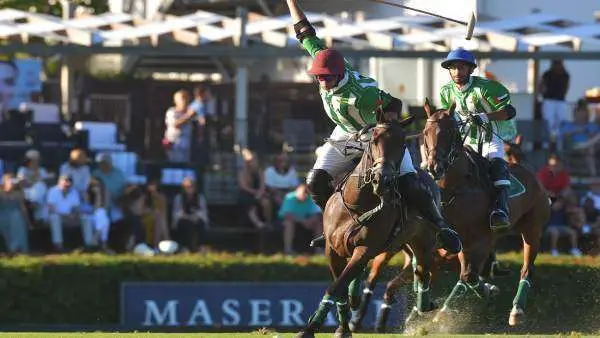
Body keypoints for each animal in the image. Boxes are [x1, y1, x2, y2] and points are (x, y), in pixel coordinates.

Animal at [298, 111, 442, 338]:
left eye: (403, 143)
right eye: (374, 140)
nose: (382, 179)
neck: (359, 204)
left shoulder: (366, 248)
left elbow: (337, 287)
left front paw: (311, 329)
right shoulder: (332, 250)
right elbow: (339, 288)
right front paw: (340, 328)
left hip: (423, 241)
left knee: (423, 269)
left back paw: (425, 302)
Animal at [420, 99, 552, 328]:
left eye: (450, 132)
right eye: (426, 132)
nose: (434, 167)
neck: (456, 187)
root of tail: (533, 176)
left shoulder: (481, 239)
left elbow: (470, 276)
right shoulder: (458, 240)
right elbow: (464, 275)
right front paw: (488, 290)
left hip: (533, 231)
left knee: (526, 269)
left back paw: (517, 310)